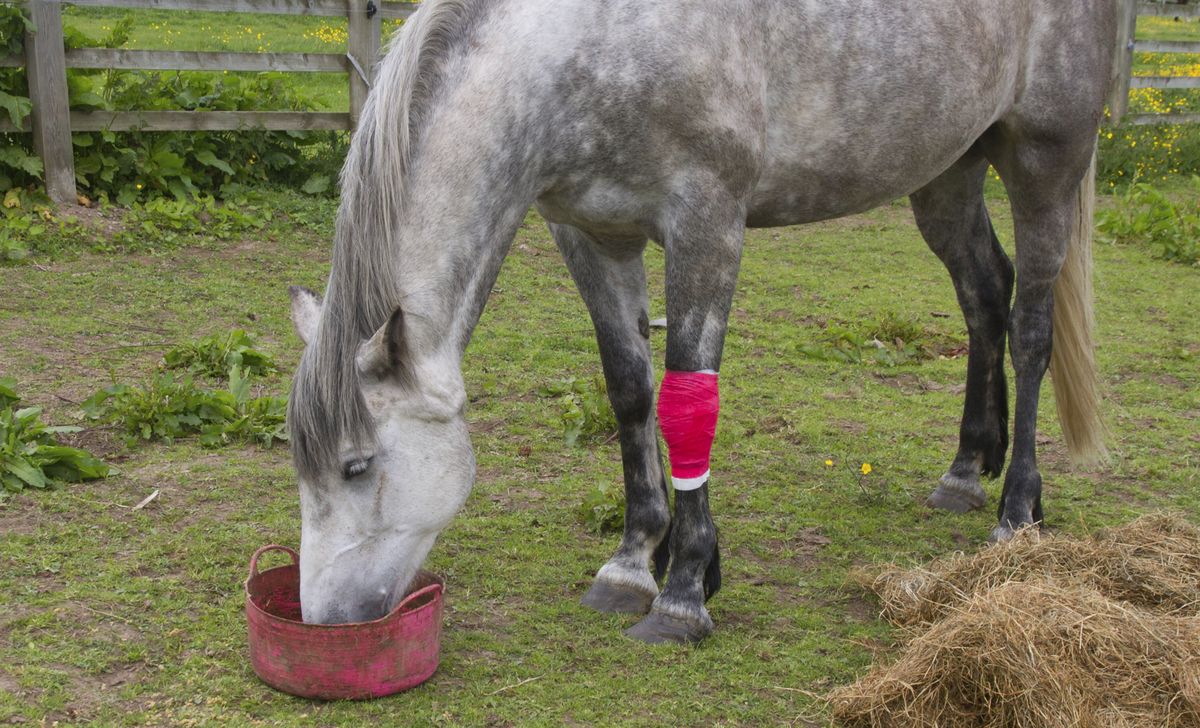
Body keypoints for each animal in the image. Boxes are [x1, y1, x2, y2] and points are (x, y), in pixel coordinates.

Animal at [286, 0, 1114, 644]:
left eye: (358, 465)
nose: (325, 619)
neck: (588, 40)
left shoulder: (708, 225)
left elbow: (689, 402)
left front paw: (685, 591)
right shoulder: (590, 234)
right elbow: (629, 390)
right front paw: (632, 563)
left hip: (1045, 162)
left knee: (1030, 327)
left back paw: (1016, 511)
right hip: (948, 171)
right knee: (984, 296)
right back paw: (967, 469)